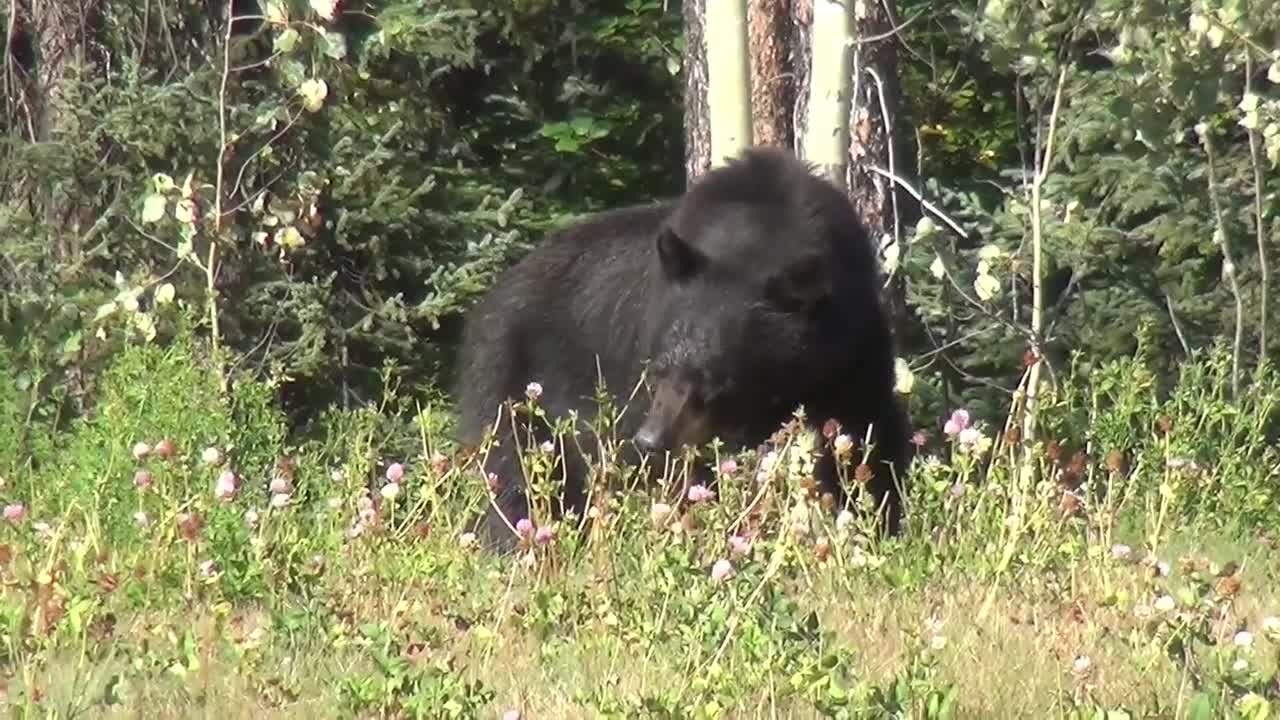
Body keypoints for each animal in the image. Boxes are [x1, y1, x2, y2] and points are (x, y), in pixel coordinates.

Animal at [450, 146, 911, 548]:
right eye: (658, 367)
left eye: (717, 379)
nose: (651, 440)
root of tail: (491, 298)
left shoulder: (851, 347)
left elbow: (865, 431)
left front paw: (879, 520)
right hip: (515, 386)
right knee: (516, 475)